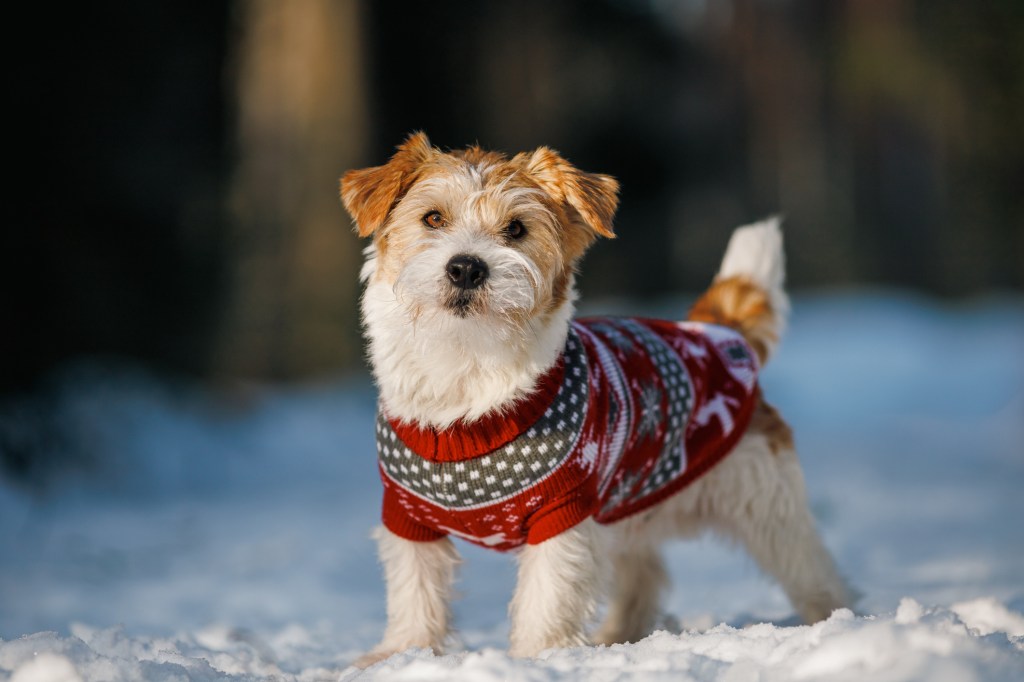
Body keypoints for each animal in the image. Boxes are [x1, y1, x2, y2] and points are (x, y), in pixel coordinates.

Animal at [339, 133, 851, 663]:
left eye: (516, 228)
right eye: (433, 218)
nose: (465, 268)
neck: (467, 372)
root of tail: (719, 332)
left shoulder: (562, 513)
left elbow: (548, 594)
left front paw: (540, 657)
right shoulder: (408, 517)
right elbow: (414, 590)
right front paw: (403, 653)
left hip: (766, 503)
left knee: (812, 569)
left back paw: (834, 623)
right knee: (645, 576)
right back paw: (618, 635)